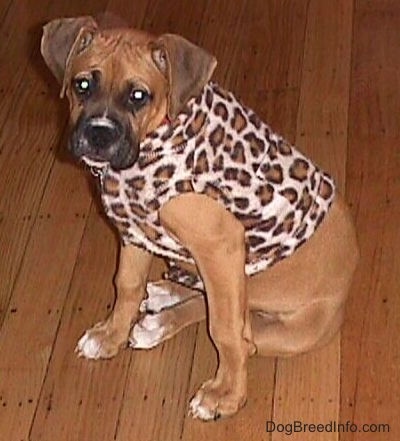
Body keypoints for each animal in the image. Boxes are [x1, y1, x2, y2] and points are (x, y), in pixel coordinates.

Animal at [41, 17, 360, 422]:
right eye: (82, 84)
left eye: (138, 96)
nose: (99, 135)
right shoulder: (135, 230)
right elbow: (127, 285)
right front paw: (111, 335)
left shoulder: (220, 249)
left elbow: (225, 331)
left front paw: (226, 395)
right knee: (205, 299)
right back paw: (163, 303)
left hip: (288, 328)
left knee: (238, 328)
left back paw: (164, 321)